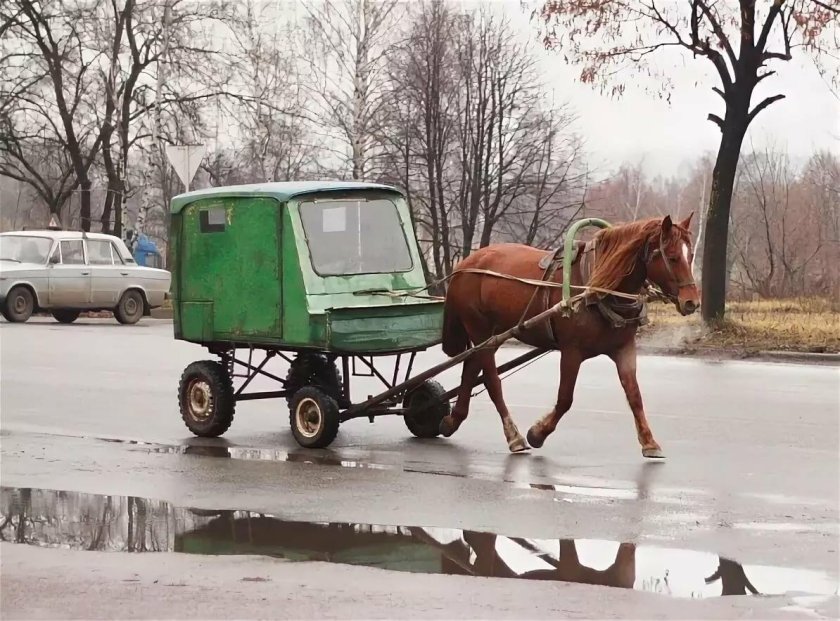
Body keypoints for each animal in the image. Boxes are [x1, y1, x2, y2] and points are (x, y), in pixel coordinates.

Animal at [439, 214, 700, 456]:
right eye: (672, 256)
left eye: (690, 256)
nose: (692, 303)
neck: (595, 290)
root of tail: (466, 264)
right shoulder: (571, 351)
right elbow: (565, 399)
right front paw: (537, 433)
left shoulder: (624, 348)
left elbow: (634, 395)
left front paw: (649, 442)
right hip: (480, 330)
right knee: (492, 381)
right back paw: (513, 435)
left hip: (491, 336)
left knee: (470, 368)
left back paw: (453, 419)